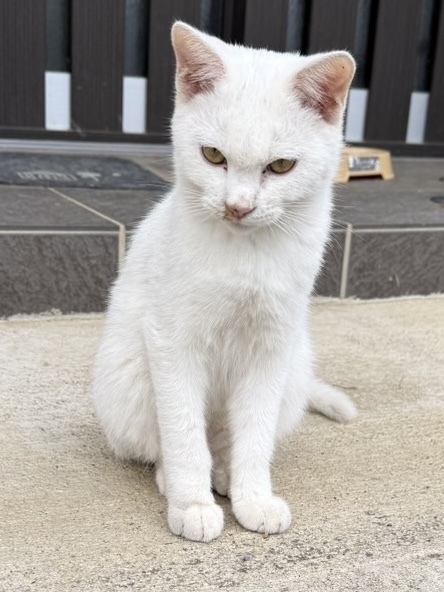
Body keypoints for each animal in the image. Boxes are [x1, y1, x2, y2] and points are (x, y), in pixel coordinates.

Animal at [93, 21, 356, 543]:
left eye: (281, 166)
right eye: (213, 156)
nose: (238, 206)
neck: (246, 255)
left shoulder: (273, 347)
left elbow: (254, 433)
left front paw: (252, 497)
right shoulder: (172, 341)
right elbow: (181, 432)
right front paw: (191, 503)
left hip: (295, 369)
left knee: (228, 440)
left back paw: (226, 474)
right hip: (129, 379)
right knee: (171, 441)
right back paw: (183, 480)